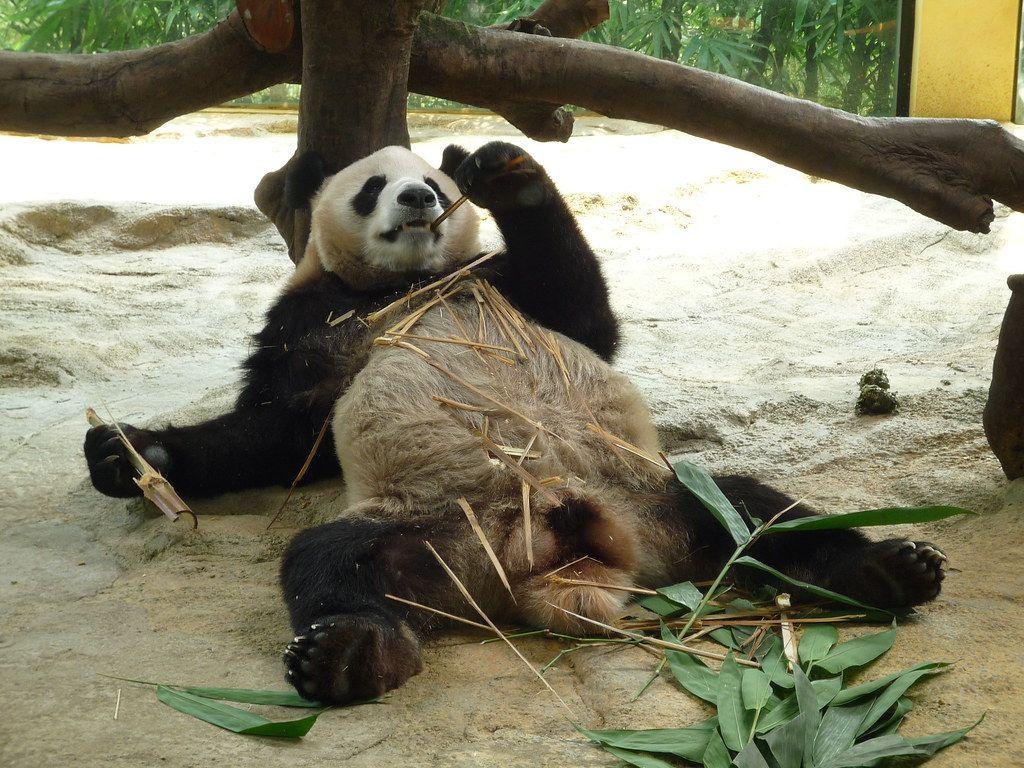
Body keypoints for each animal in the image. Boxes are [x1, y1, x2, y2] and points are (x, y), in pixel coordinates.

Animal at [84, 141, 947, 705]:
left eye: (431, 177)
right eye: (374, 185)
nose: (420, 200)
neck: (412, 283)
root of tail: (567, 557)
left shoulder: (499, 280)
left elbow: (584, 314)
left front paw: (508, 172)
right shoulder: (313, 317)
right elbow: (277, 431)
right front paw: (130, 455)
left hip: (660, 494)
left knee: (758, 512)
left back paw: (887, 570)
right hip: (435, 531)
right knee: (329, 561)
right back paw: (351, 657)